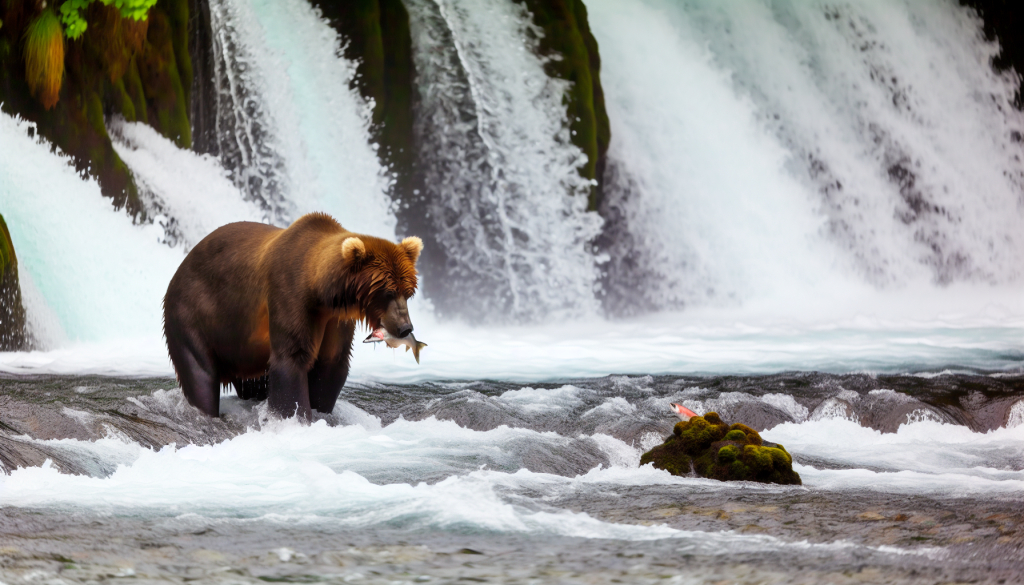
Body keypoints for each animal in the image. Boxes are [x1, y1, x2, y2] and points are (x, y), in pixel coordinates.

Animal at [163, 212, 422, 419]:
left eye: (408, 292)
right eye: (387, 292)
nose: (405, 328)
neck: (322, 291)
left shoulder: (336, 319)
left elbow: (332, 363)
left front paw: (320, 409)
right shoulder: (290, 295)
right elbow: (291, 359)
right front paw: (296, 417)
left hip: (242, 345)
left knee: (251, 381)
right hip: (194, 313)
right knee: (200, 372)